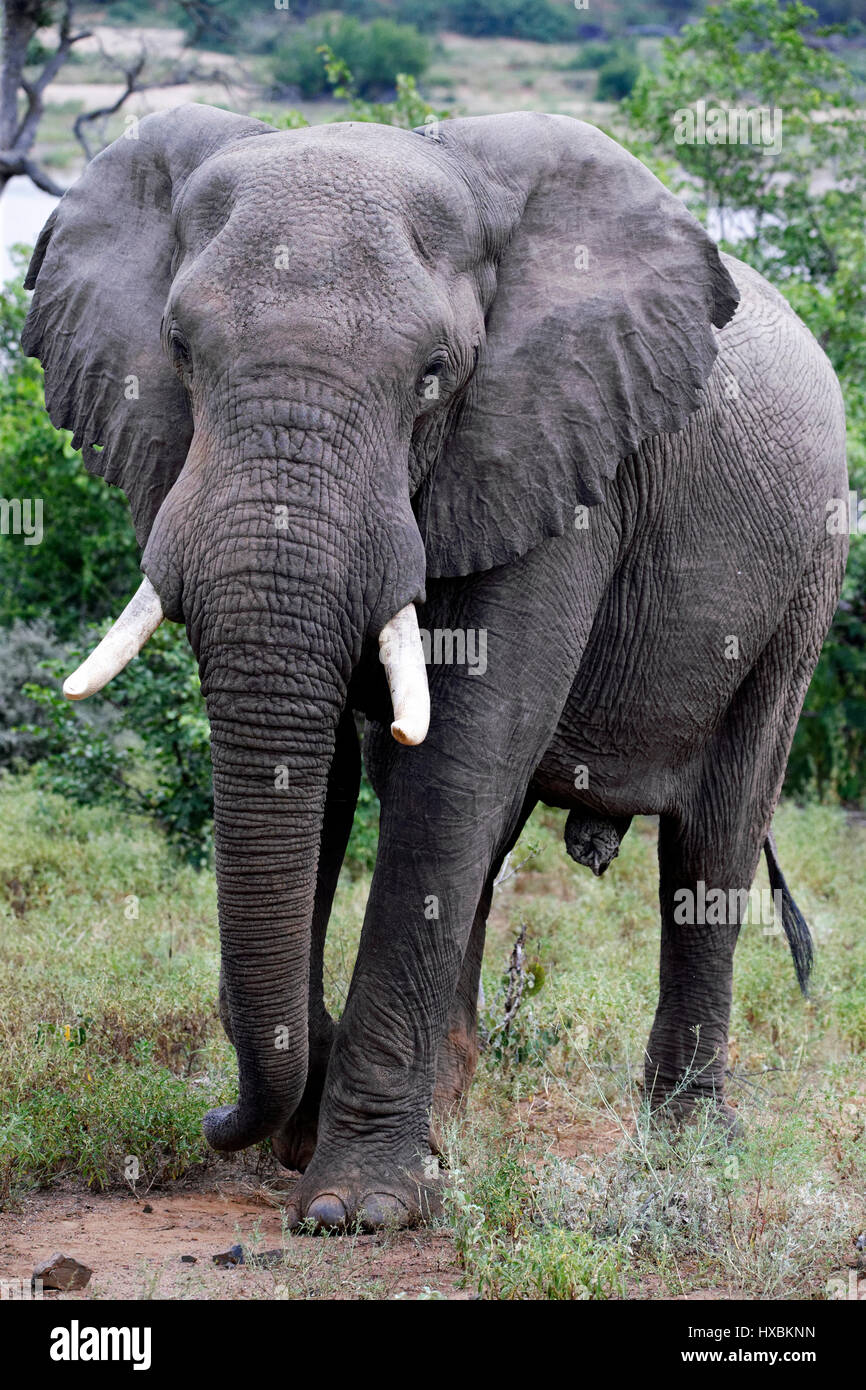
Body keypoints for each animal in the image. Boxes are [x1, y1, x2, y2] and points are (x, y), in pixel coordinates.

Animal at [23, 111, 850, 1228]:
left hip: (805, 578)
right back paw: (451, 1122)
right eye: (180, 349)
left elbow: (455, 763)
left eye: (433, 373)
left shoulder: (557, 452)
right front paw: (336, 1149)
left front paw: (354, 1207)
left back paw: (684, 1153)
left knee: (713, 836)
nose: (218, 1124)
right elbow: (336, 776)